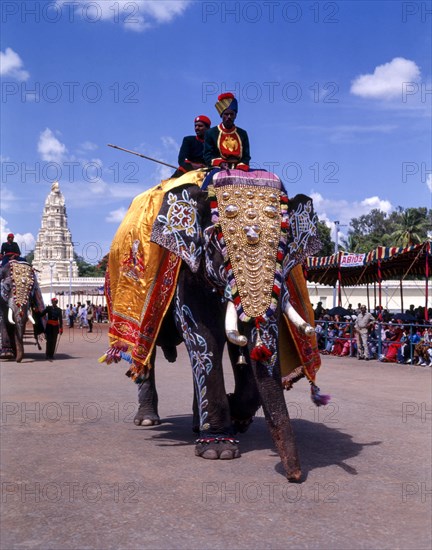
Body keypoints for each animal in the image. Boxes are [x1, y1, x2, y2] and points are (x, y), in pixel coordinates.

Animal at [104, 168, 328, 484]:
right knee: (146, 355)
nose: (295, 477)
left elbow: (243, 351)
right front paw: (218, 449)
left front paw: (238, 416)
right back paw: (148, 419)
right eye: (221, 247)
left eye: (285, 250)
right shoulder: (187, 267)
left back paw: (198, 425)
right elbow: (203, 335)